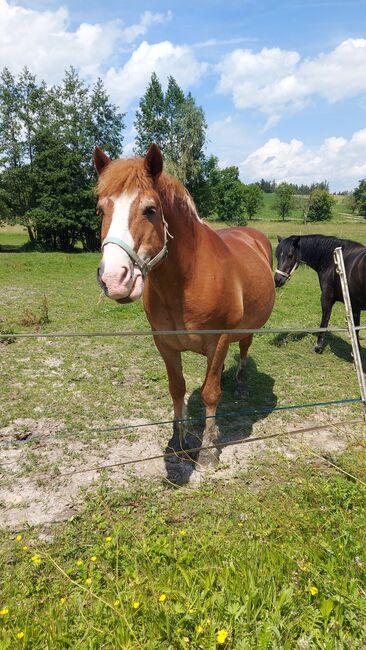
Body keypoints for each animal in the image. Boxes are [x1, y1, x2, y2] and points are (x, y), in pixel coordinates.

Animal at [93, 143, 274, 466]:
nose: (114, 278)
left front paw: (207, 449)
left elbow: (210, 393)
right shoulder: (164, 343)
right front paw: (179, 441)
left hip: (246, 329)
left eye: (150, 210)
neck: (188, 279)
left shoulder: (219, 339)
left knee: (244, 347)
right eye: (101, 210)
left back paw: (240, 383)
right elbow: (177, 388)